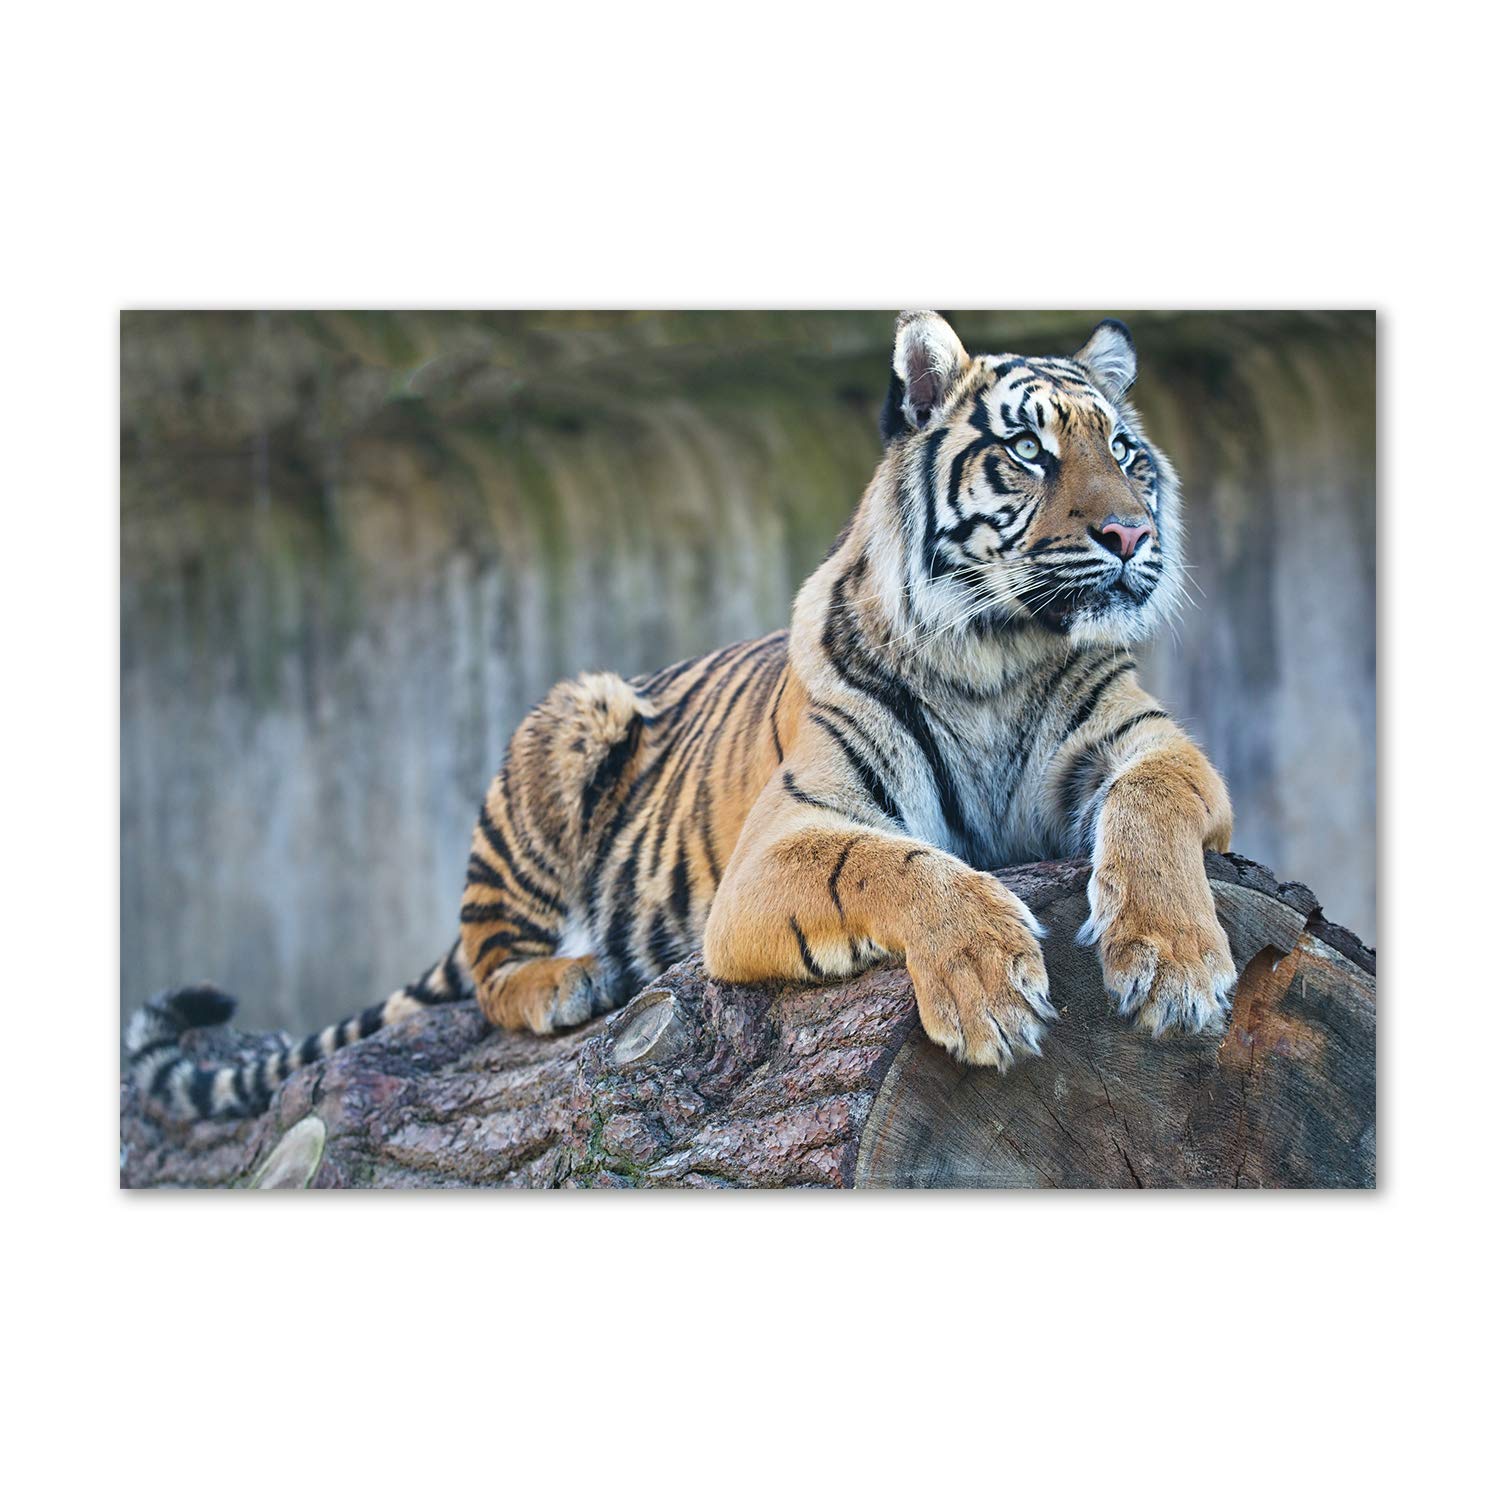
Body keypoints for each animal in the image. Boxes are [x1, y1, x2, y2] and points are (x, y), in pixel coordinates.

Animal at [127, 311, 1235, 1121]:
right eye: (1029, 453)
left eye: (1127, 453)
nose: (1131, 533)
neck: (998, 656)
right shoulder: (784, 843)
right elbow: (899, 867)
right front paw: (986, 984)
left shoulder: (1152, 747)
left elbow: (1156, 808)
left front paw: (1176, 965)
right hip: (573, 712)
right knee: (486, 966)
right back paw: (566, 982)